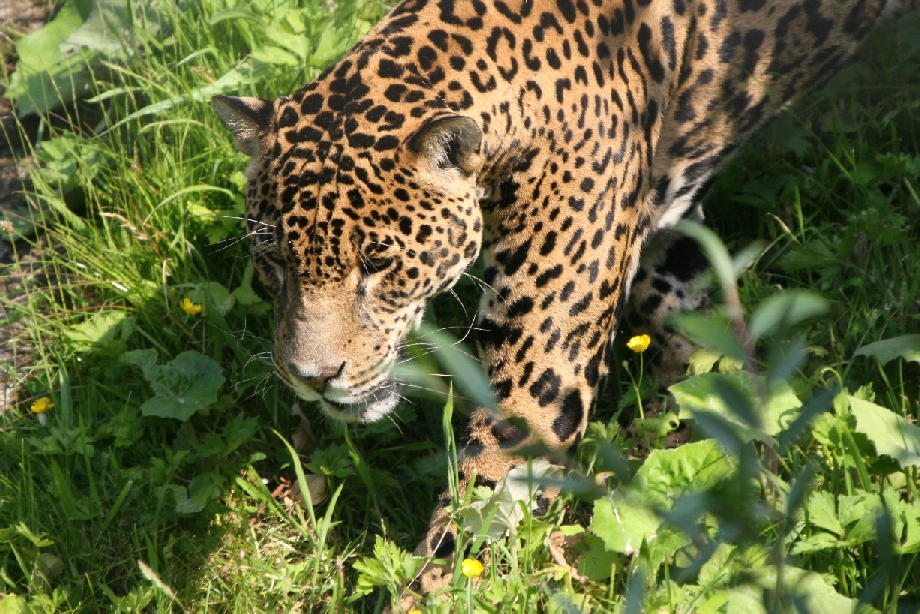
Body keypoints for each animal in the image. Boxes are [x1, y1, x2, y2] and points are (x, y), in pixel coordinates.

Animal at [212, 0, 902, 603]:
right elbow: (708, 356)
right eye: (273, 259)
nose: (310, 377)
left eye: (379, 261)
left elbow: (465, 543)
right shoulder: (671, 244)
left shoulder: (536, 391)